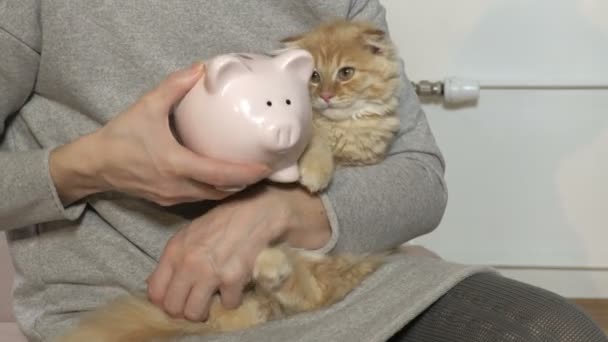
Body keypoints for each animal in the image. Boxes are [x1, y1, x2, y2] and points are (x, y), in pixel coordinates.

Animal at [290, 20, 404, 194]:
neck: (341, 128)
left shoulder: (365, 159)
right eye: (314, 76)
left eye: (346, 73)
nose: (326, 95)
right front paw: (315, 171)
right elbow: (317, 141)